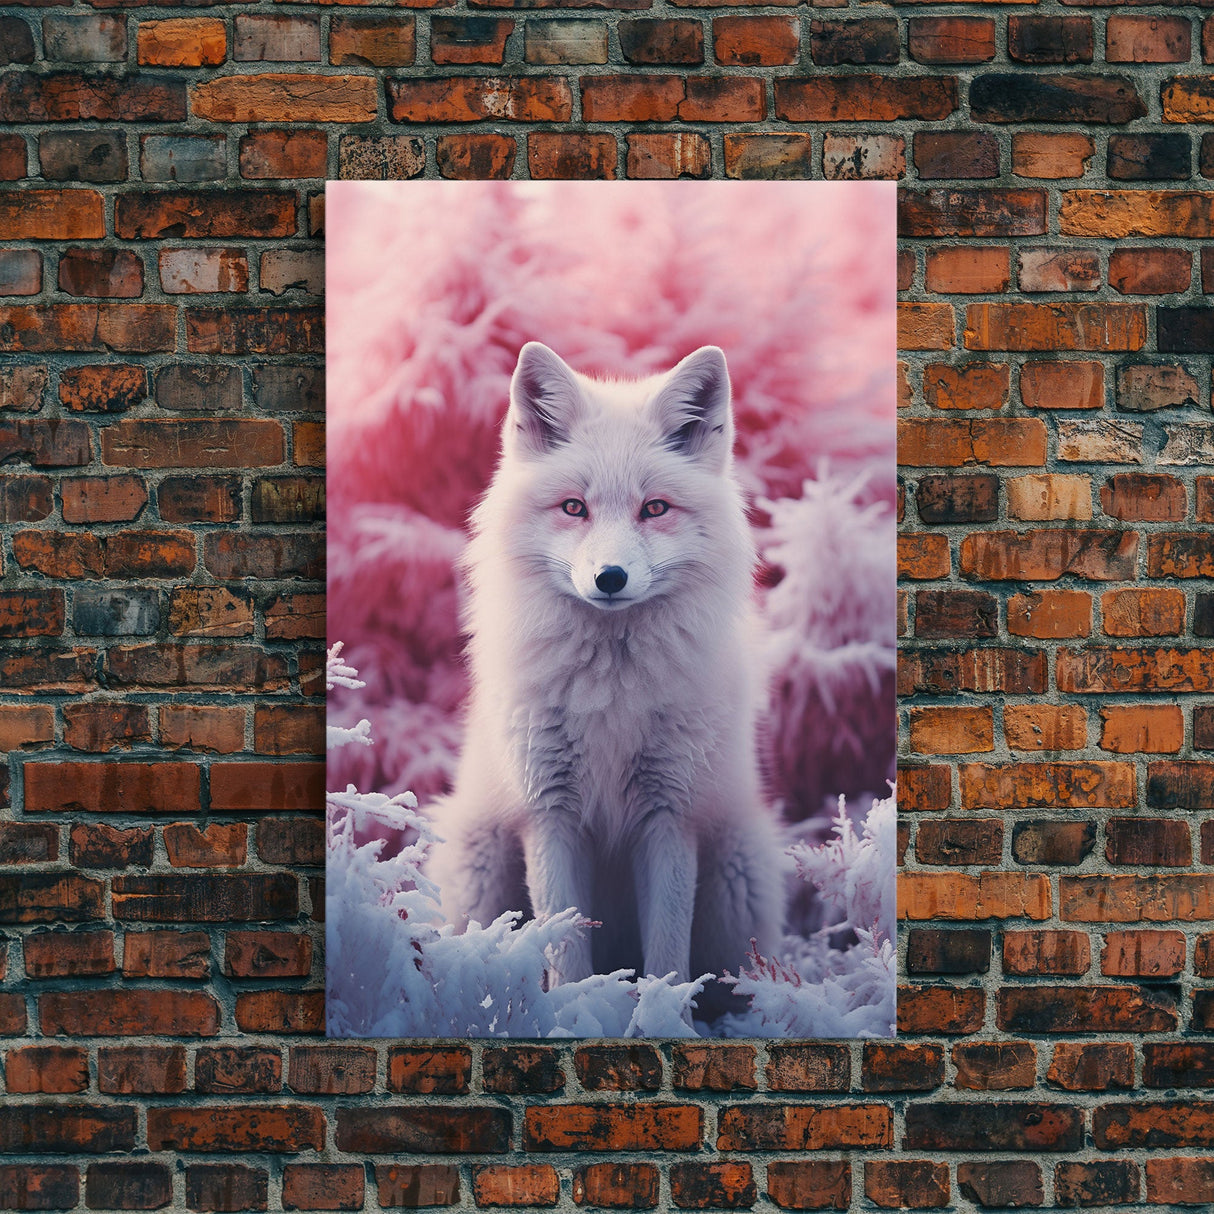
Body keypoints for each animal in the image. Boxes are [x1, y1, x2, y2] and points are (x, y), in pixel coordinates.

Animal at [425, 341, 785, 998]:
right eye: (575, 507)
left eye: (654, 509)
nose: (610, 578)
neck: (610, 696)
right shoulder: (550, 814)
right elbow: (566, 951)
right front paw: (575, 1011)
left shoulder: (669, 816)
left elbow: (668, 963)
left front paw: (663, 1014)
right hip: (481, 874)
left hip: (734, 882)